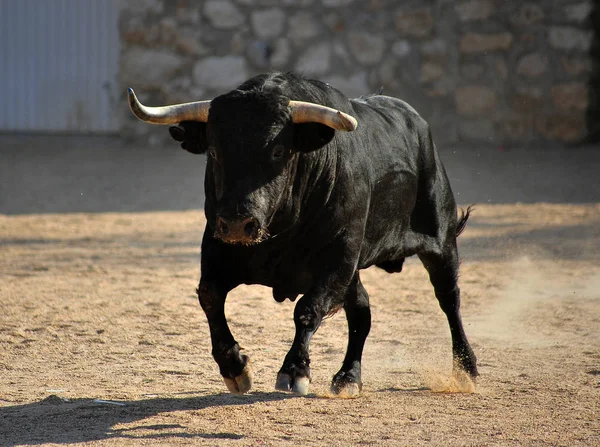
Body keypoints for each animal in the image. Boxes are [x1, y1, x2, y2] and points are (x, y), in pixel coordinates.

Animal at [127, 72, 478, 398]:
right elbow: (210, 296)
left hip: (441, 241)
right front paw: (235, 368)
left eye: (279, 150)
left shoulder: (339, 258)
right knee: (362, 312)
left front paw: (294, 371)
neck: (280, 230)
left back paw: (466, 370)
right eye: (213, 151)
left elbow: (308, 310)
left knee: (449, 299)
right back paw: (348, 378)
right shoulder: (216, 246)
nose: (239, 223)